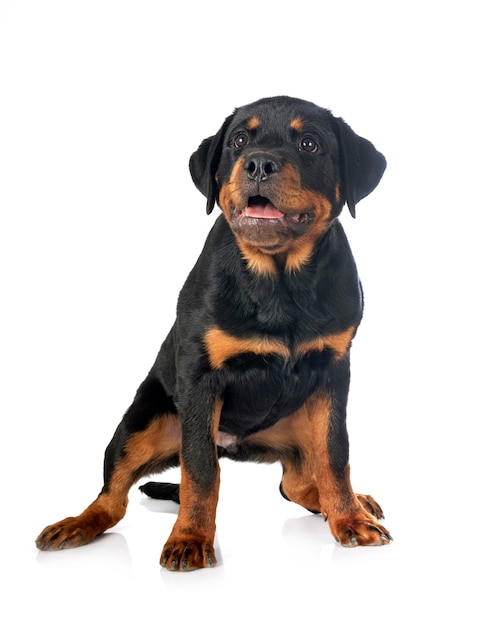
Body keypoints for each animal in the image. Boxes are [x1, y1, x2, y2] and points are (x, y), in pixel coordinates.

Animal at [35, 95, 392, 568]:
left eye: (310, 144)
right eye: (239, 139)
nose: (258, 163)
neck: (280, 280)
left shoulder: (334, 371)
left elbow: (335, 454)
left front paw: (350, 520)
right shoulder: (202, 378)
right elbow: (201, 471)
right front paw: (189, 539)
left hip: (297, 427)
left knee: (297, 482)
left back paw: (353, 502)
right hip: (142, 422)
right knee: (114, 496)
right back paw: (77, 524)